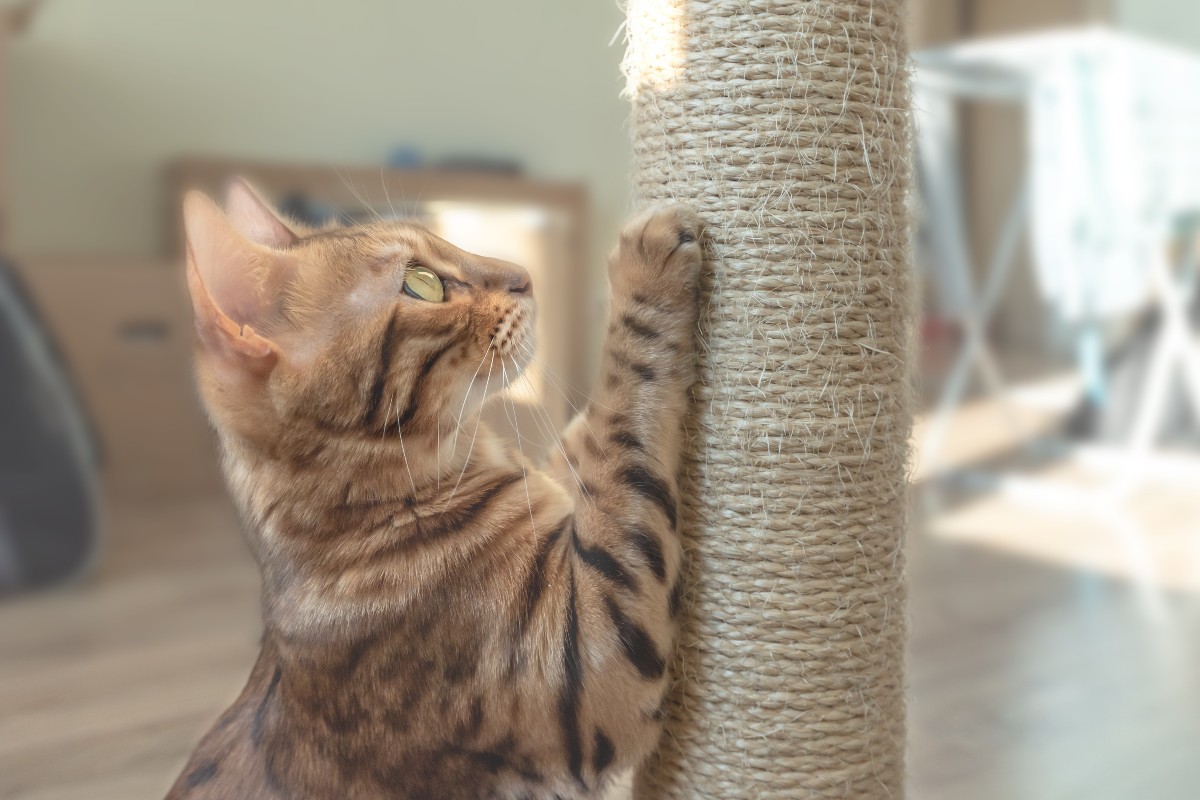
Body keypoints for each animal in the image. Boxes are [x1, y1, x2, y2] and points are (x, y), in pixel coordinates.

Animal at [164, 181, 700, 800]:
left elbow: (593, 436)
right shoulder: (591, 658)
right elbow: (625, 417)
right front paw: (644, 263)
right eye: (421, 283)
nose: (525, 274)